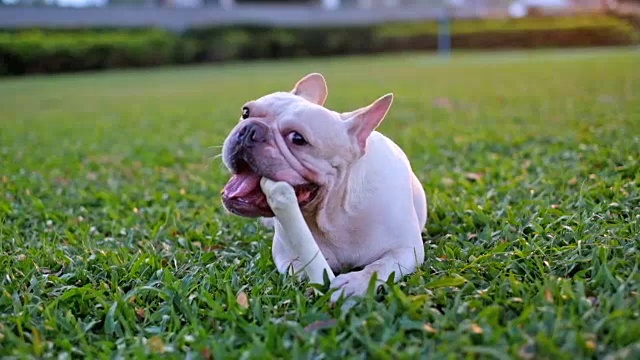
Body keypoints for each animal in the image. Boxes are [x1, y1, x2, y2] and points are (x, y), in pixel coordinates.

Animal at [220, 72, 424, 300]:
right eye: (245, 112)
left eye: (297, 138)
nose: (249, 129)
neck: (333, 212)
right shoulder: (286, 255)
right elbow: (300, 266)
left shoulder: (405, 250)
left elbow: (378, 267)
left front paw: (354, 284)